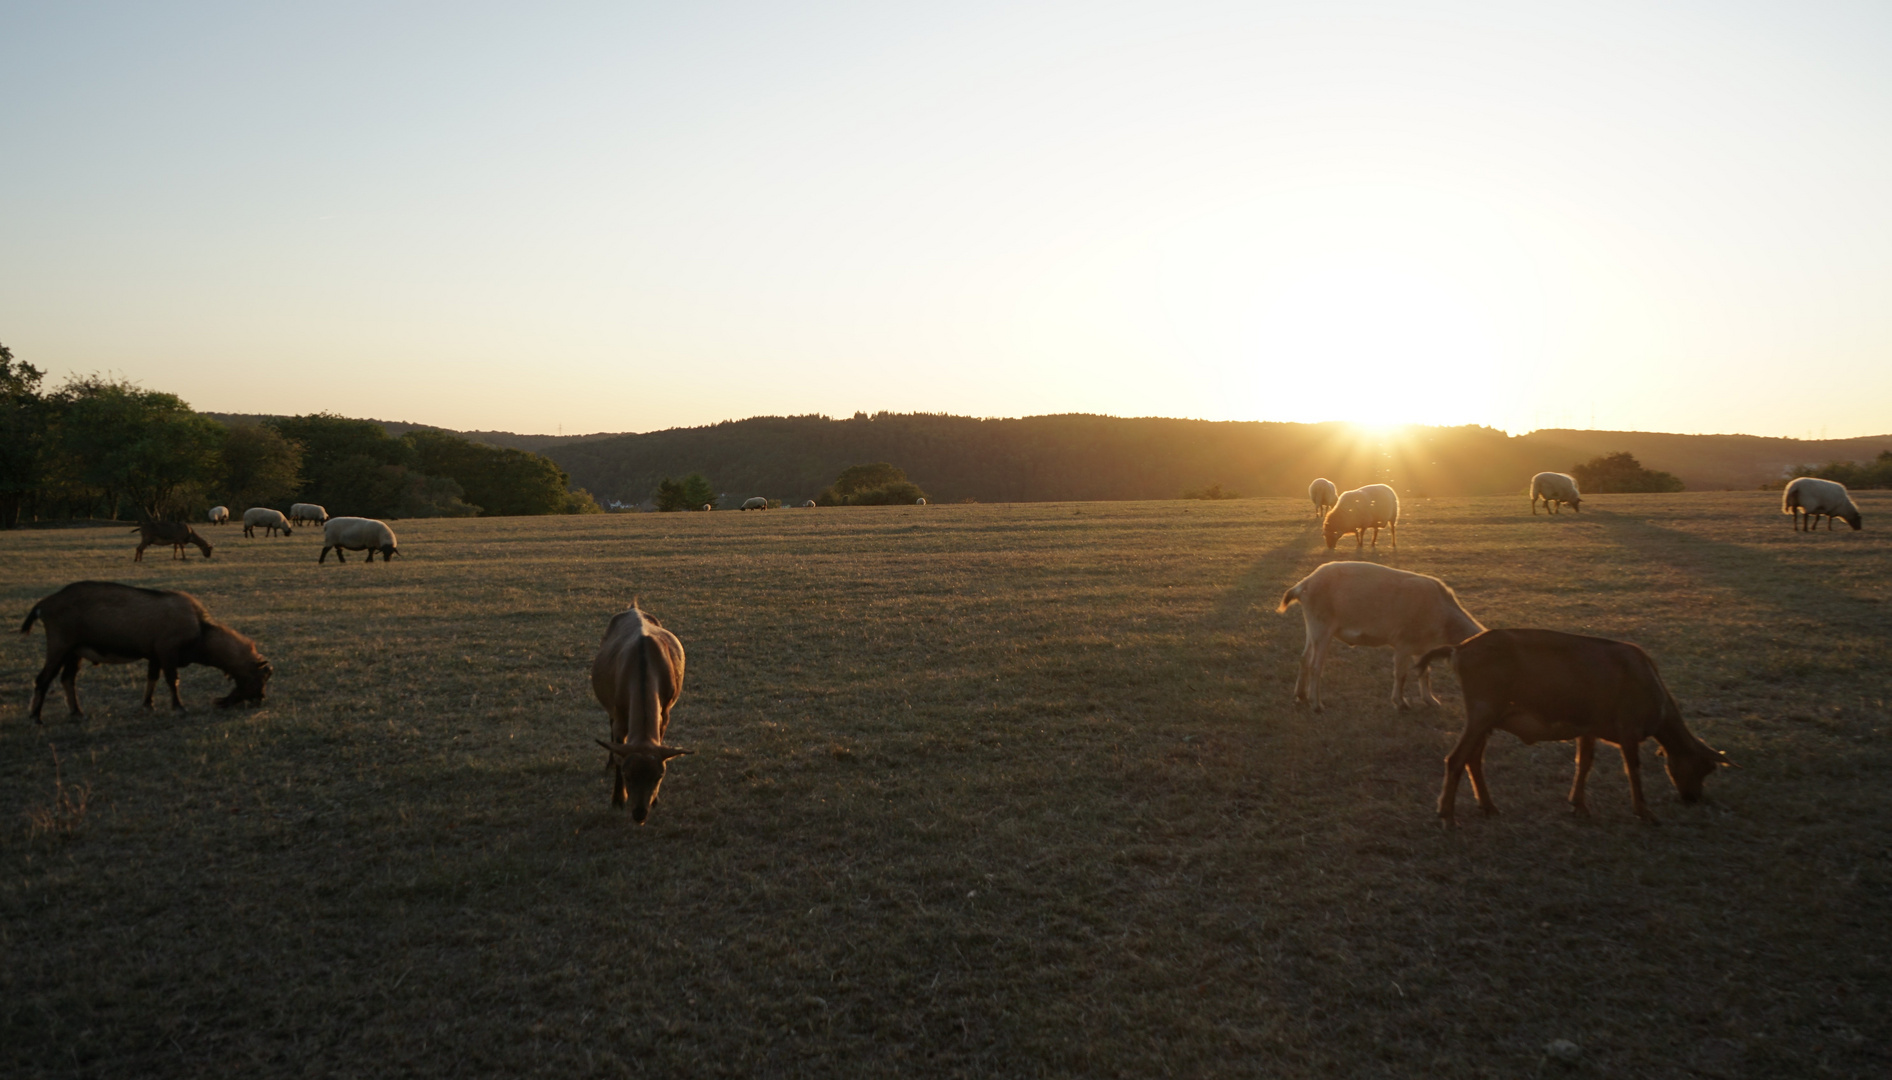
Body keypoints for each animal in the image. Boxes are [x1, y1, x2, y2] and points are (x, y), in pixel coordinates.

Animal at [20, 578, 272, 722]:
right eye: (261, 677)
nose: (260, 699)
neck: (201, 631)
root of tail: (43, 605)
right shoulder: (167, 650)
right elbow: (172, 679)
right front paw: (179, 708)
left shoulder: (154, 655)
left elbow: (152, 678)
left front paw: (147, 705)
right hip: (59, 645)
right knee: (43, 678)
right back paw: (35, 717)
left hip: (74, 651)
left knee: (67, 678)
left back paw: (76, 712)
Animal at [590, 605, 696, 824]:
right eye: (628, 775)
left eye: (659, 776)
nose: (640, 813)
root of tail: (634, 607)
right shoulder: (620, 712)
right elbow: (619, 750)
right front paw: (617, 799)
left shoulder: (665, 711)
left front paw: (655, 800)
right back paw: (609, 762)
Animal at [1278, 563, 1483, 714]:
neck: (1444, 619)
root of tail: (1303, 584)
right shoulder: (1403, 643)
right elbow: (1401, 674)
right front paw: (1401, 703)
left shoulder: (1423, 648)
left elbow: (1424, 672)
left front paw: (1431, 701)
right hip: (1322, 626)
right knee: (1315, 666)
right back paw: (1317, 705)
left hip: (1312, 626)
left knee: (1304, 659)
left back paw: (1301, 696)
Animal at [1422, 627, 1733, 824]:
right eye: (1706, 767)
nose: (1693, 798)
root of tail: (1459, 649)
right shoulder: (1628, 728)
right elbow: (1633, 770)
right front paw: (1645, 812)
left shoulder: (1589, 727)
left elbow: (1584, 763)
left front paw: (1579, 805)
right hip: (1483, 710)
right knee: (1456, 759)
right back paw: (1447, 816)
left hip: (1488, 717)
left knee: (1473, 759)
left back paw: (1487, 806)